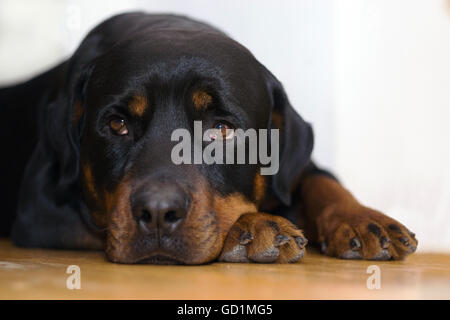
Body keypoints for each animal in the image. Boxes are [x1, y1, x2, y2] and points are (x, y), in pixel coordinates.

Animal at [0, 12, 418, 264]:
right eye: (117, 124)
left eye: (221, 129)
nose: (157, 212)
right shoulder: (40, 210)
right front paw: (253, 226)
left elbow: (321, 181)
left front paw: (362, 219)